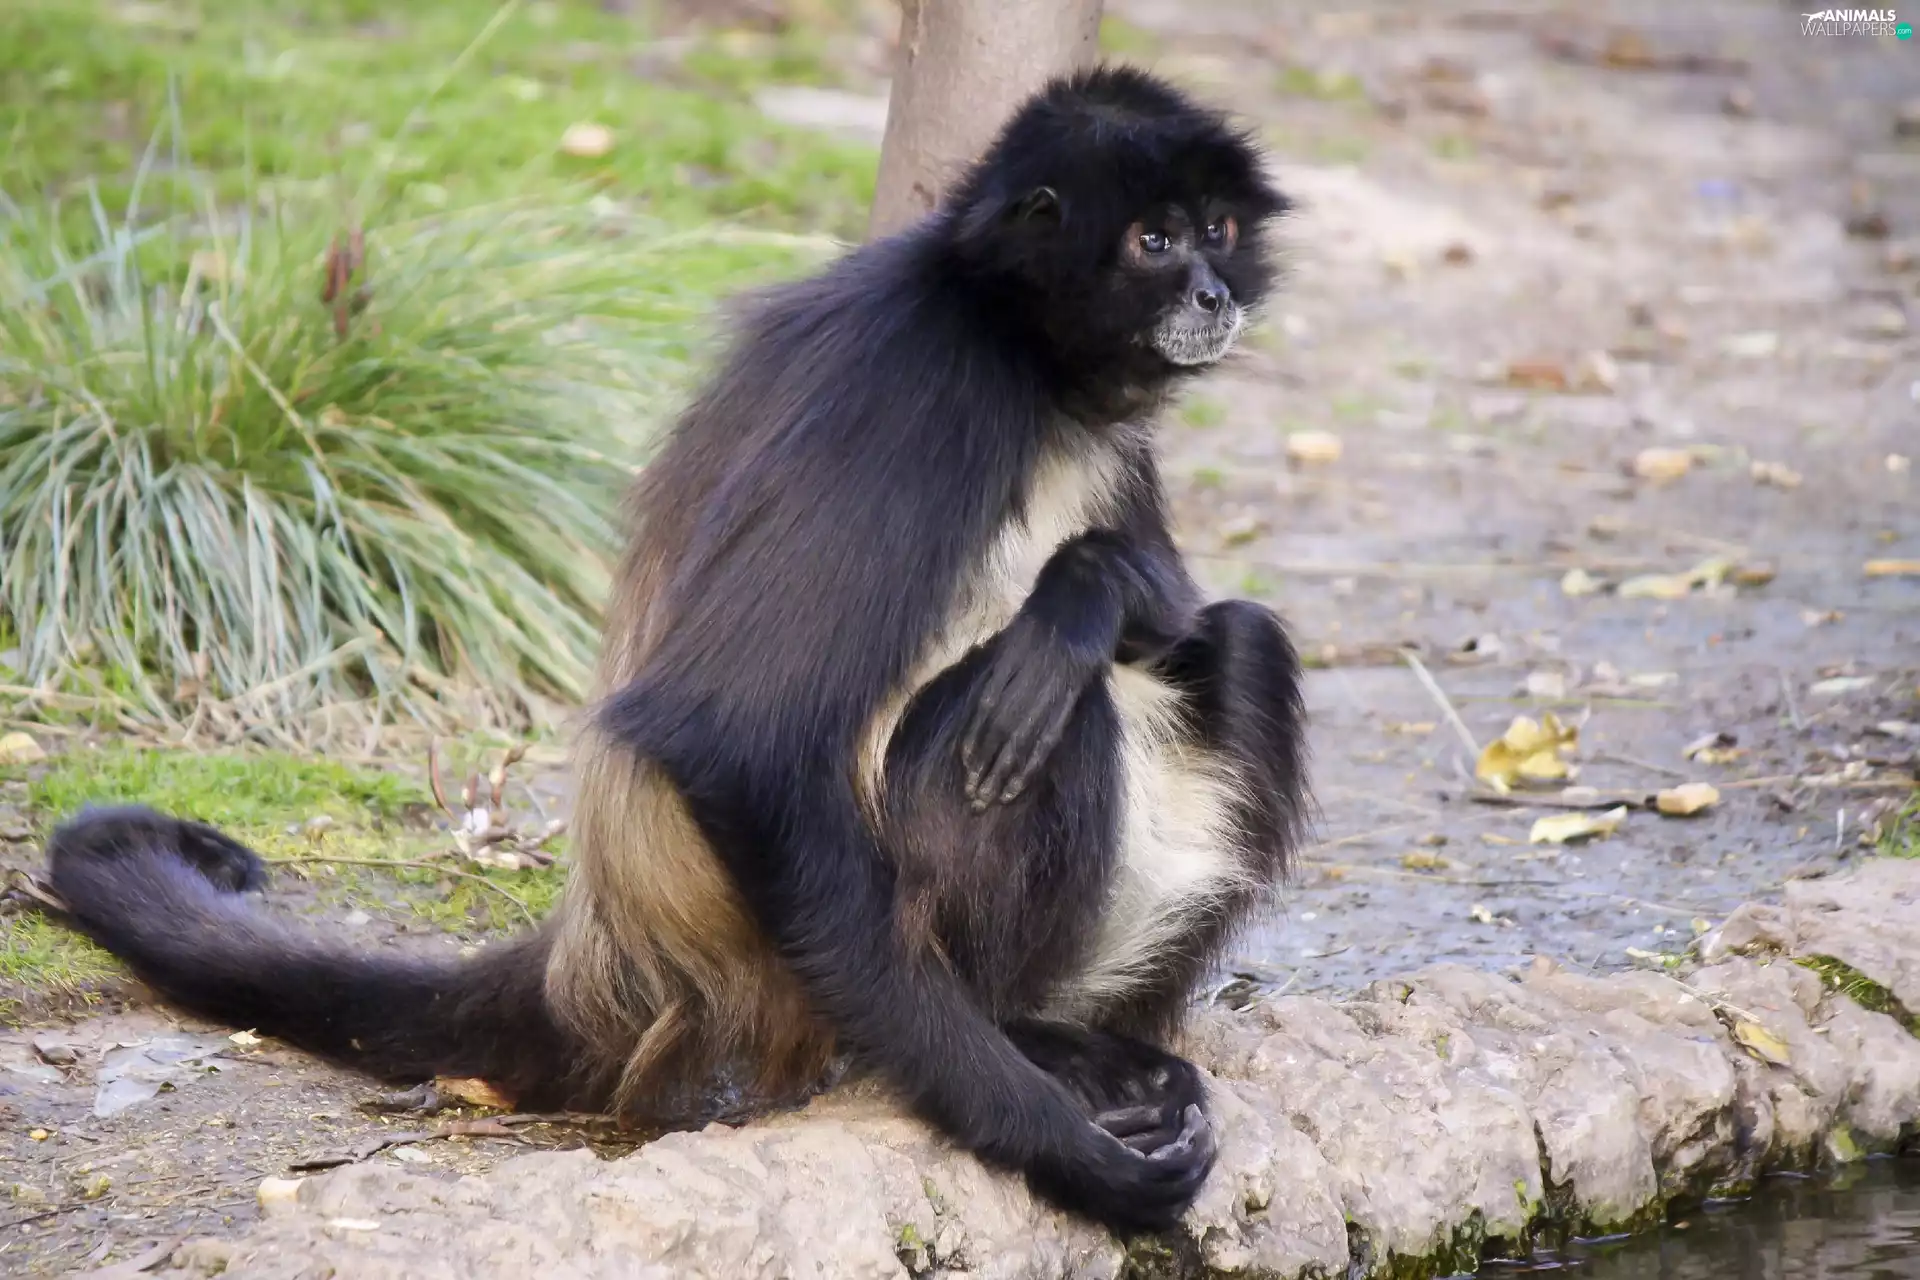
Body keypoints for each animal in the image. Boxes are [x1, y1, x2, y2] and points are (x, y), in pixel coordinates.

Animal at [43, 66, 1308, 1235]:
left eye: (1217, 230)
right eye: (1152, 239)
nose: (1211, 289)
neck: (1026, 359)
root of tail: (607, 950)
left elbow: (1166, 596)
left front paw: (1101, 584)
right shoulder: (920, 373)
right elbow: (733, 738)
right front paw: (1054, 1145)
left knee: (1235, 640)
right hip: (810, 976)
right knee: (1046, 696)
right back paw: (1026, 1037)